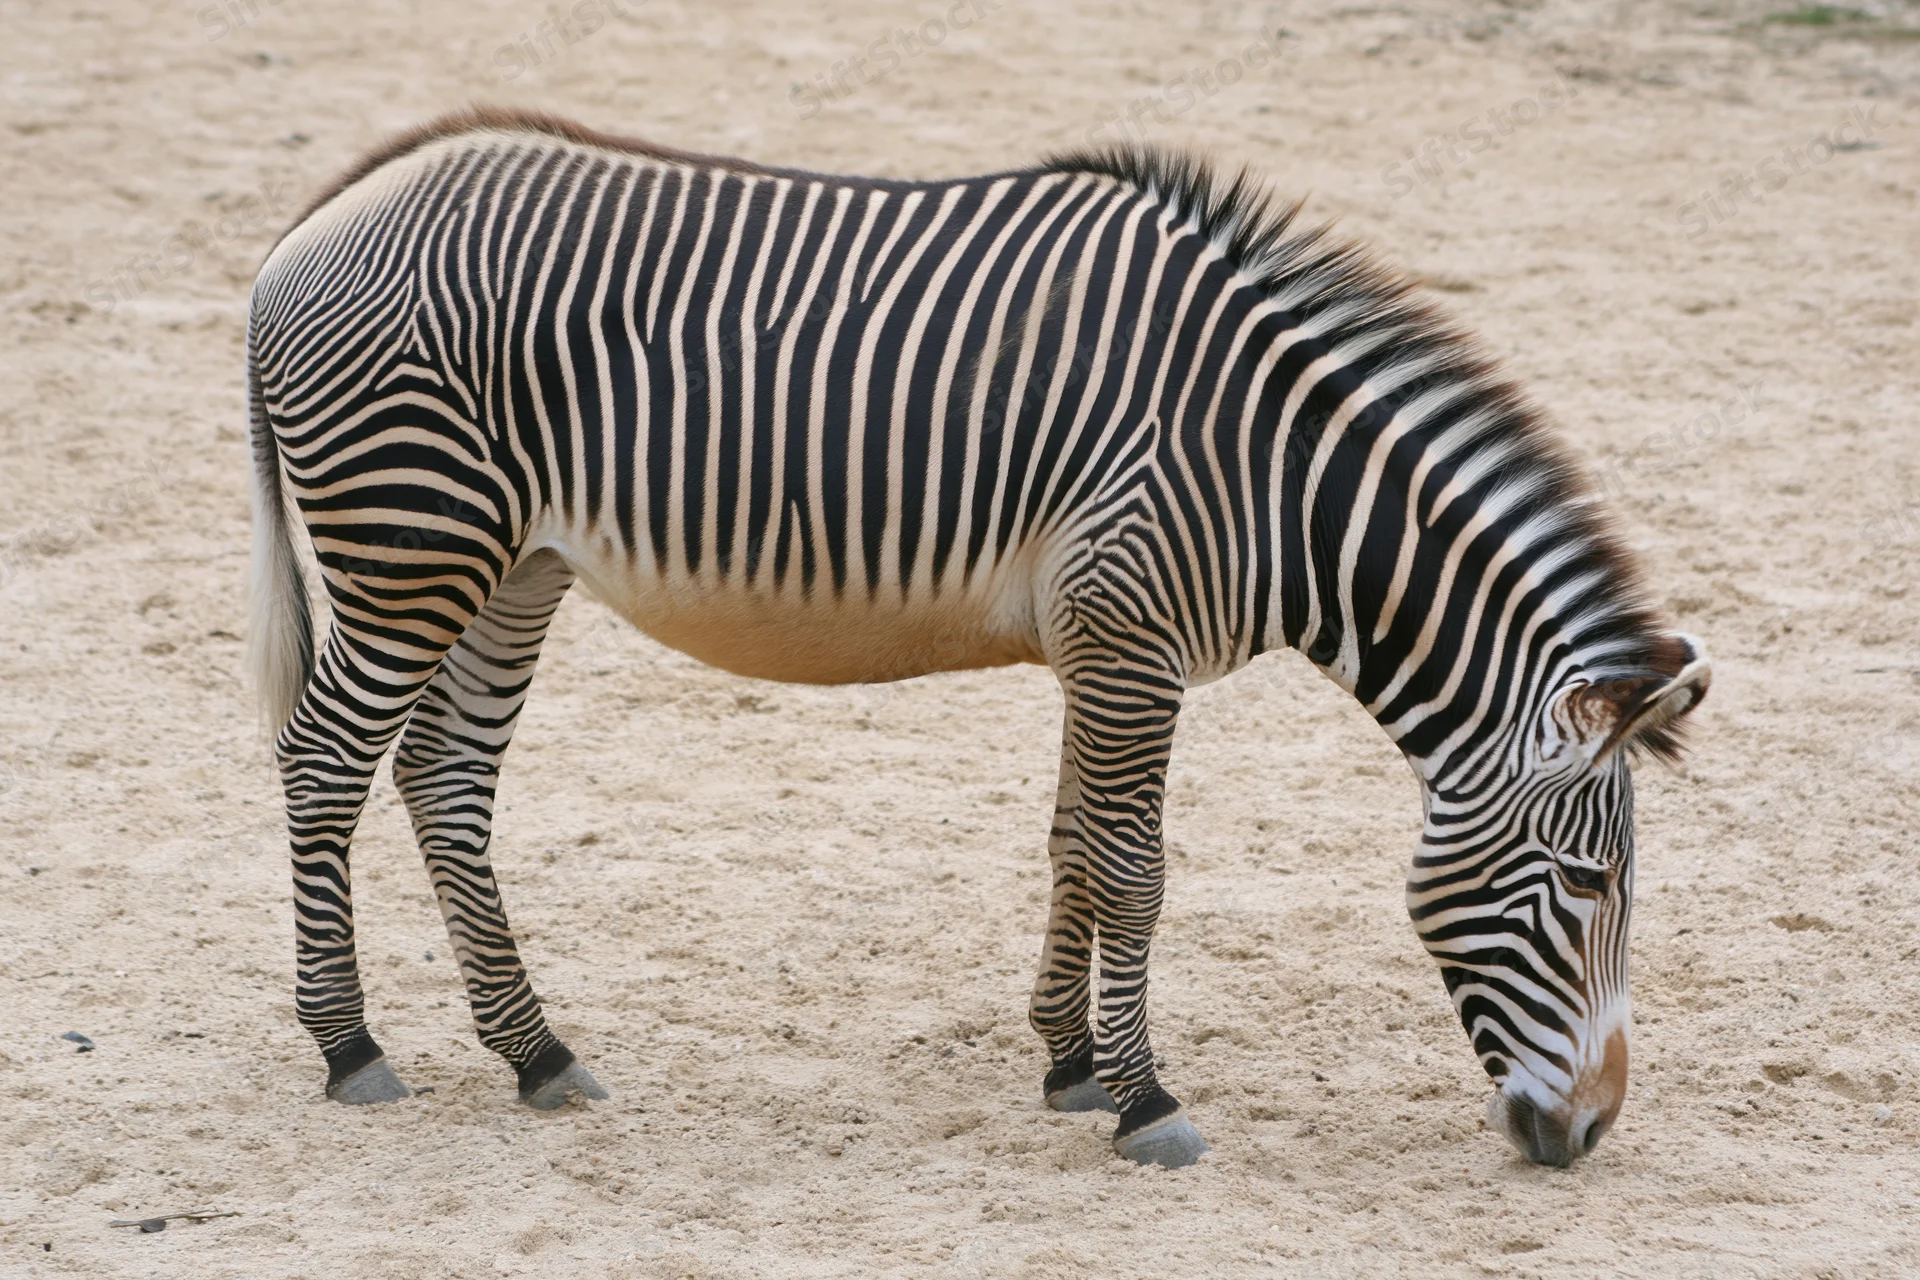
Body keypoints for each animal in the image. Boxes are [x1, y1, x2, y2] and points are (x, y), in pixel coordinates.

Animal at [246, 107, 1710, 1170]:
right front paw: (1146, 1100)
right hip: (411, 542)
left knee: (443, 774)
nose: (1587, 1135)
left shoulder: (1103, 644)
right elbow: (1135, 869)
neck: (1275, 476)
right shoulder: (1130, 639)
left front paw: (1069, 1064)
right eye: (1589, 885)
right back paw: (349, 1045)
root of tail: (320, 216)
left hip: (511, 563)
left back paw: (535, 1052)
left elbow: (1074, 845)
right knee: (324, 760)